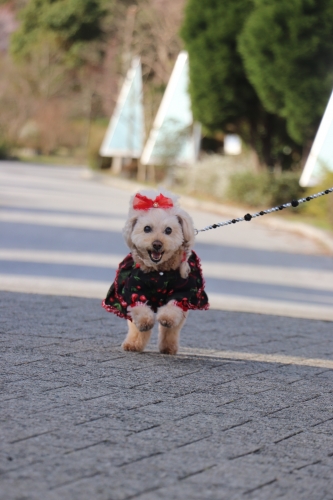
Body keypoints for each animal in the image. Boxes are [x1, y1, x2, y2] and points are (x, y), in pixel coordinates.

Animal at [102, 189, 209, 354]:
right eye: (147, 228)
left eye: (168, 230)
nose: (157, 244)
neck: (159, 271)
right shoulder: (134, 291)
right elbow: (140, 312)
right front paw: (145, 323)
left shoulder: (183, 293)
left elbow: (172, 312)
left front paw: (166, 319)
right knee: (136, 326)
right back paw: (133, 344)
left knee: (172, 329)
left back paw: (168, 347)